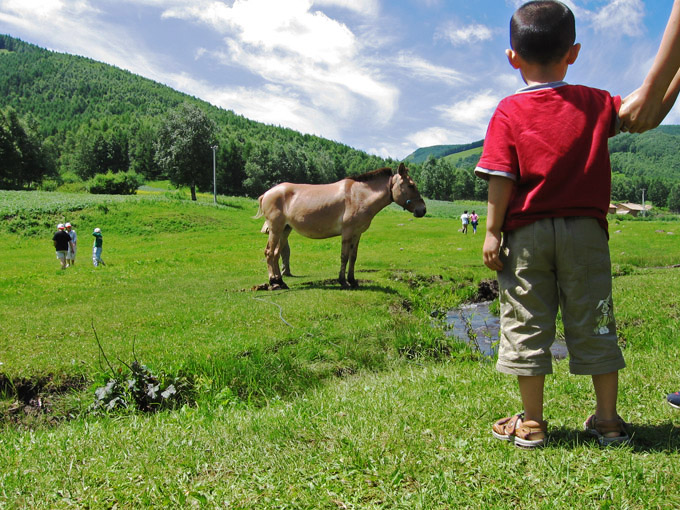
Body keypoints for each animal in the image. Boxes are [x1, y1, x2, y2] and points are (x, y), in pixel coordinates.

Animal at [255, 164, 424, 288]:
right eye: (411, 185)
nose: (422, 210)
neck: (359, 196)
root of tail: (267, 193)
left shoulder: (357, 233)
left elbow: (353, 257)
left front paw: (353, 280)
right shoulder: (347, 232)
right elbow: (344, 256)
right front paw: (343, 281)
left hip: (285, 230)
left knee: (276, 254)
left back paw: (280, 281)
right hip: (276, 229)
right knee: (269, 253)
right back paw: (273, 282)